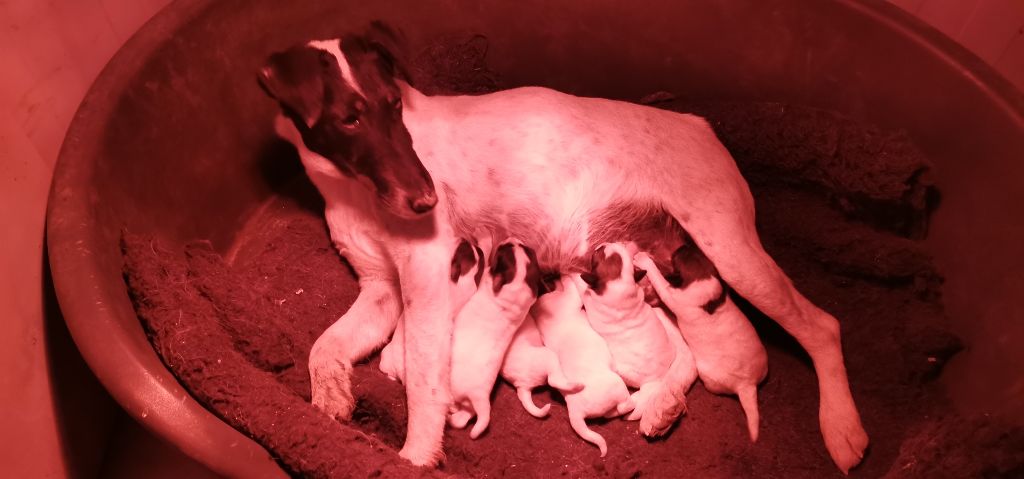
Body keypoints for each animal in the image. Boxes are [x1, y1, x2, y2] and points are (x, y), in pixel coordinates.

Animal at [532, 274, 634, 454]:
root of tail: (576, 410)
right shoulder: (569, 299)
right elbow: (572, 287)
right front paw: (569, 276)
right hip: (616, 385)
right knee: (624, 407)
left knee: (610, 414)